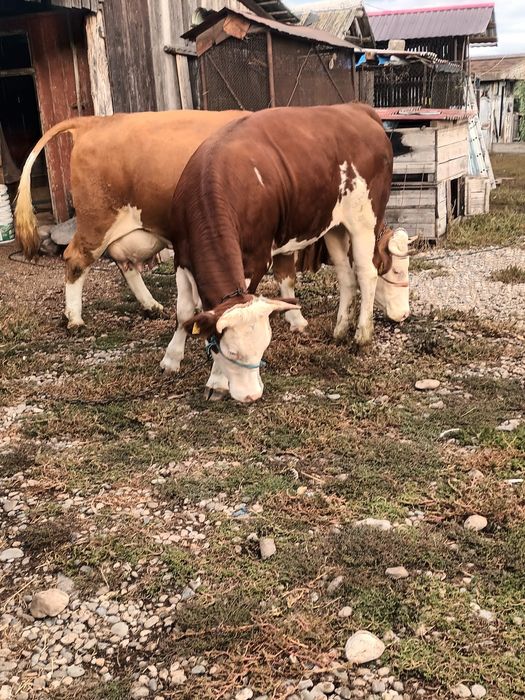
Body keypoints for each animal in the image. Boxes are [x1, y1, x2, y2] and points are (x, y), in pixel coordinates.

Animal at [14, 110, 245, 330]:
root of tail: (93, 122)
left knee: (125, 263)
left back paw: (152, 306)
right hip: (97, 219)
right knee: (76, 258)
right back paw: (74, 319)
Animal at [160, 103, 412, 403]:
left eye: (263, 348)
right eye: (232, 351)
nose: (252, 395)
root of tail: (356, 108)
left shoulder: (256, 259)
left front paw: (217, 381)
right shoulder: (182, 256)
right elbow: (185, 311)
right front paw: (171, 359)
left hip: (364, 219)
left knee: (366, 272)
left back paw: (362, 335)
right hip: (334, 226)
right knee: (346, 275)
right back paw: (340, 330)